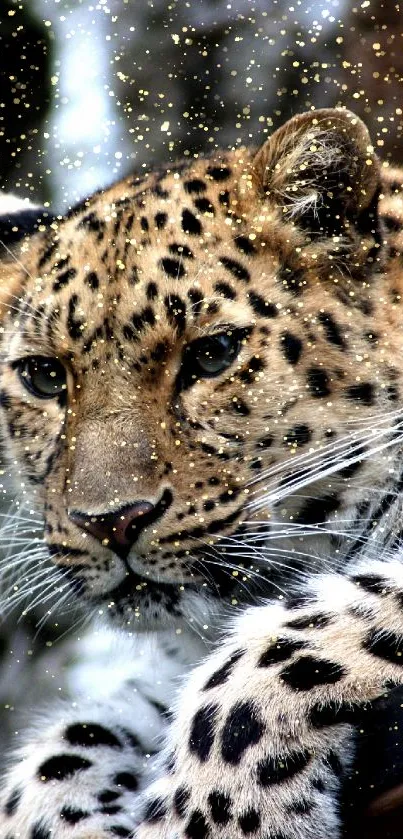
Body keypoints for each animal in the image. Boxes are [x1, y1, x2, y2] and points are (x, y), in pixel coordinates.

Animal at [1, 111, 403, 839]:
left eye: (212, 355)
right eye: (44, 376)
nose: (111, 522)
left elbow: (277, 650)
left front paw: (219, 815)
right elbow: (57, 757)